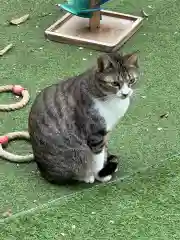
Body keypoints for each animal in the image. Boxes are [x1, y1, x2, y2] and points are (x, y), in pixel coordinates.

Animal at [28, 51, 139, 186]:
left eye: (131, 80)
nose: (126, 94)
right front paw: (100, 175)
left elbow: (104, 149)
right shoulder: (95, 134)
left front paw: (107, 161)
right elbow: (97, 158)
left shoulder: (106, 133)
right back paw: (87, 176)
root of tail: (44, 173)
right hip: (76, 153)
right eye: (115, 83)